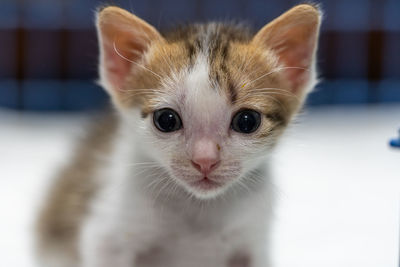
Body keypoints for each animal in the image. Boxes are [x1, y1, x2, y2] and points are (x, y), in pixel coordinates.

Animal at [35, 4, 322, 267]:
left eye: (247, 121)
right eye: (166, 120)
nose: (205, 160)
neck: (197, 207)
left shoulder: (252, 240)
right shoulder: (106, 236)